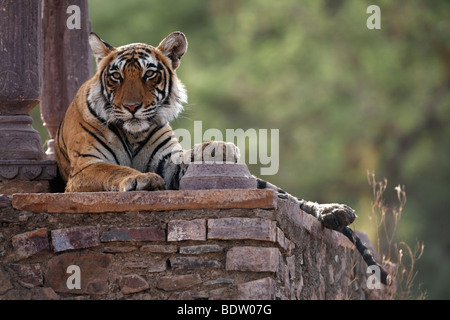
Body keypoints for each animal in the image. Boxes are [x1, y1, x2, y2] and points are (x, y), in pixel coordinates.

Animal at [53, 31, 390, 284]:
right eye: (116, 77)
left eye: (149, 75)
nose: (133, 107)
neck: (133, 133)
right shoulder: (84, 169)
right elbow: (114, 170)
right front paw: (143, 180)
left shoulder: (171, 165)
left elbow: (192, 156)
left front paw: (220, 146)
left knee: (286, 197)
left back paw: (334, 212)